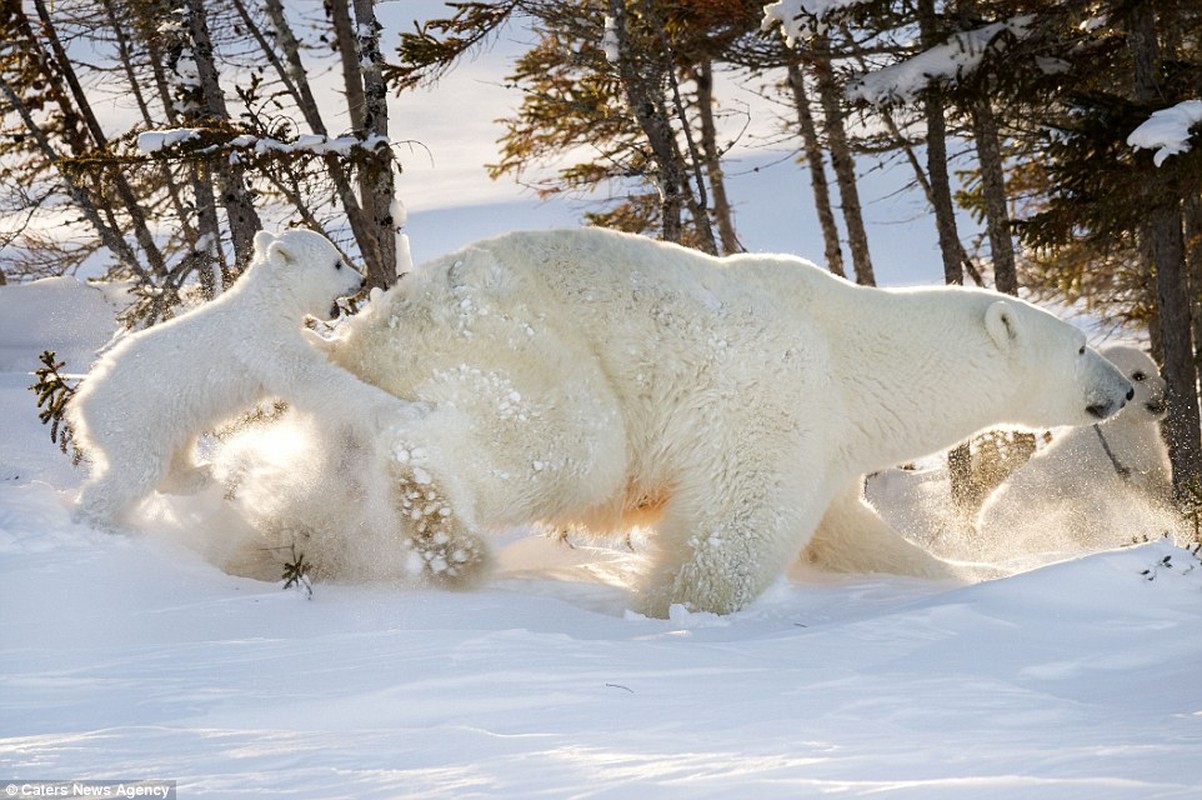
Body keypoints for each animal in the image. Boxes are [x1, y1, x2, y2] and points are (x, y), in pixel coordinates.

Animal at [324, 227, 1129, 612]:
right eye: (1080, 344)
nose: (1123, 389)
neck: (854, 351)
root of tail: (370, 328)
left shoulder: (833, 437)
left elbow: (848, 534)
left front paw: (973, 568)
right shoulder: (775, 401)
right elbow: (738, 527)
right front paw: (673, 606)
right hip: (518, 344)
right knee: (563, 444)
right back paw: (447, 536)